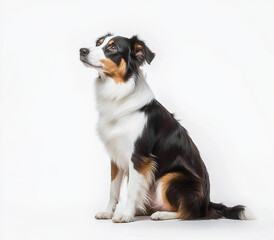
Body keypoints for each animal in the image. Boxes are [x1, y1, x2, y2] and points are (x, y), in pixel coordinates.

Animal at [79, 33, 253, 223]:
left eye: (112, 48)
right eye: (98, 43)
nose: (82, 50)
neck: (118, 93)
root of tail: (207, 203)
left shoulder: (139, 158)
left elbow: (131, 191)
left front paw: (126, 215)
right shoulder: (116, 157)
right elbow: (113, 190)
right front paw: (108, 212)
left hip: (171, 177)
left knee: (189, 213)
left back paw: (161, 214)